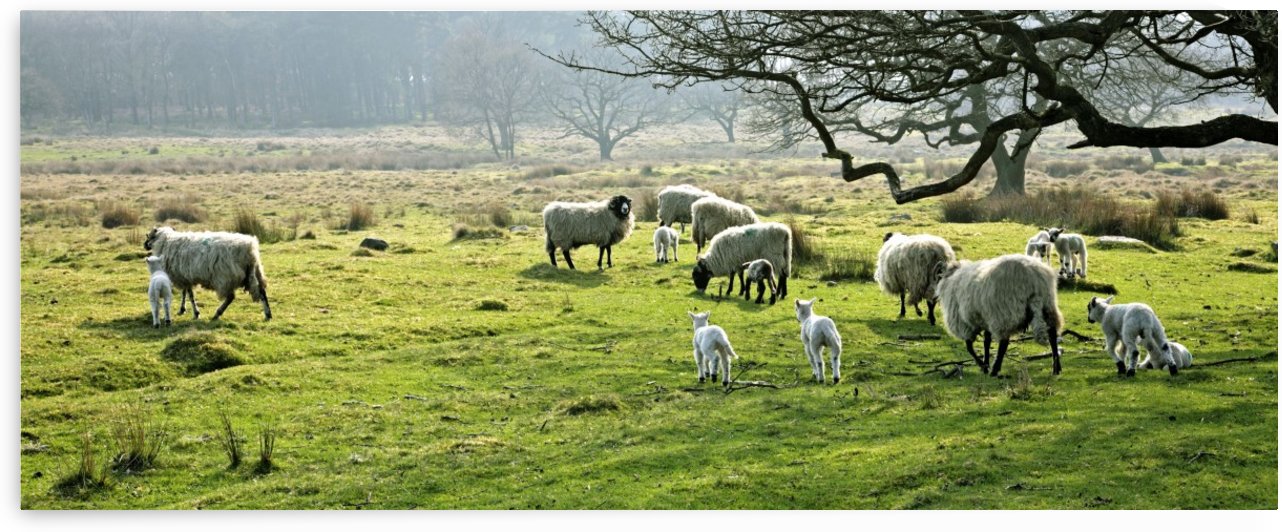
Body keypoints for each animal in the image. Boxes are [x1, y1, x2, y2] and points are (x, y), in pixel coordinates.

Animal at [143, 227, 272, 321]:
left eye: (149, 236)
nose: (144, 245)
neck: (166, 240)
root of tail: (249, 249)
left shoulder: (182, 276)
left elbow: (189, 295)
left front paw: (195, 313)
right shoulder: (184, 275)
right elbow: (185, 293)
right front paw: (183, 309)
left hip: (225, 277)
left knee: (230, 297)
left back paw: (217, 313)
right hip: (255, 273)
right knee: (262, 292)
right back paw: (268, 314)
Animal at [935, 254, 1064, 377]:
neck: (951, 277)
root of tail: (1033, 279)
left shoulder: (964, 324)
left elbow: (969, 347)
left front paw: (983, 365)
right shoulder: (985, 319)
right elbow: (986, 342)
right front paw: (985, 364)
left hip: (1004, 312)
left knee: (1004, 343)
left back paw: (995, 369)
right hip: (1048, 305)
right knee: (1052, 335)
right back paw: (1056, 367)